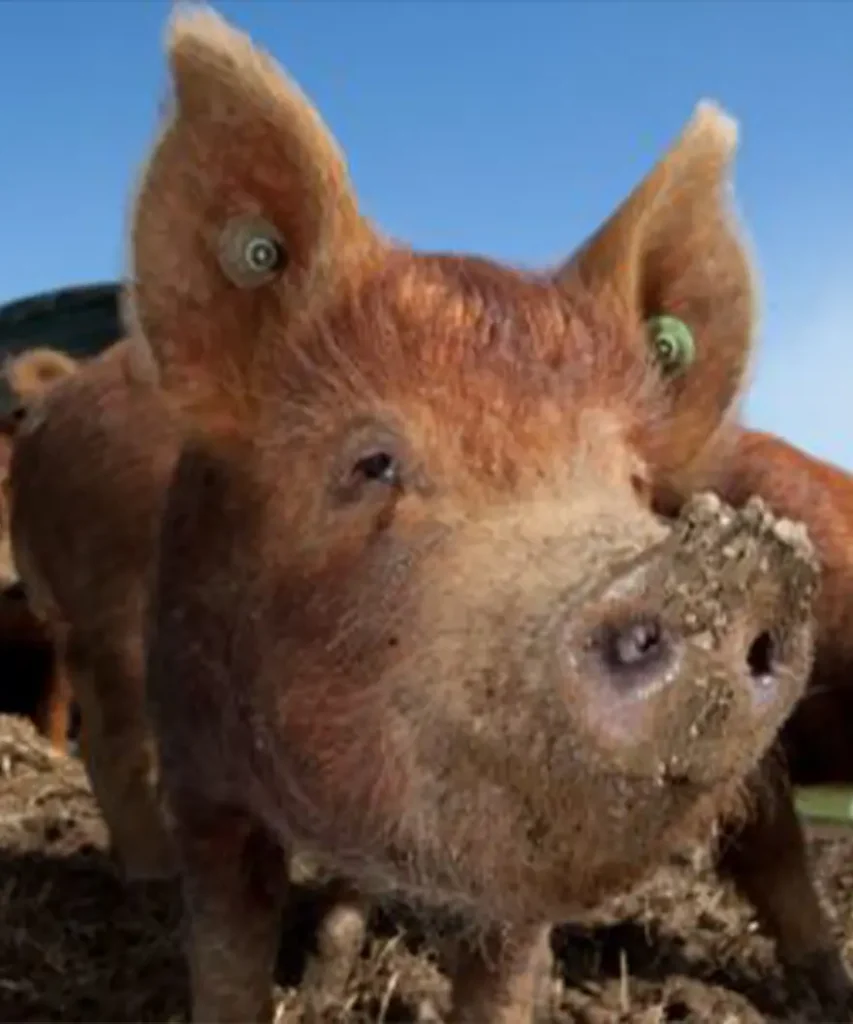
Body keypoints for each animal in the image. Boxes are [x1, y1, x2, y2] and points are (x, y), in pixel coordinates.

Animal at [121, 8, 822, 1023]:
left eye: (632, 483)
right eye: (372, 462)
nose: (737, 562)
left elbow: (503, 974)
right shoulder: (196, 769)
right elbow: (225, 956)